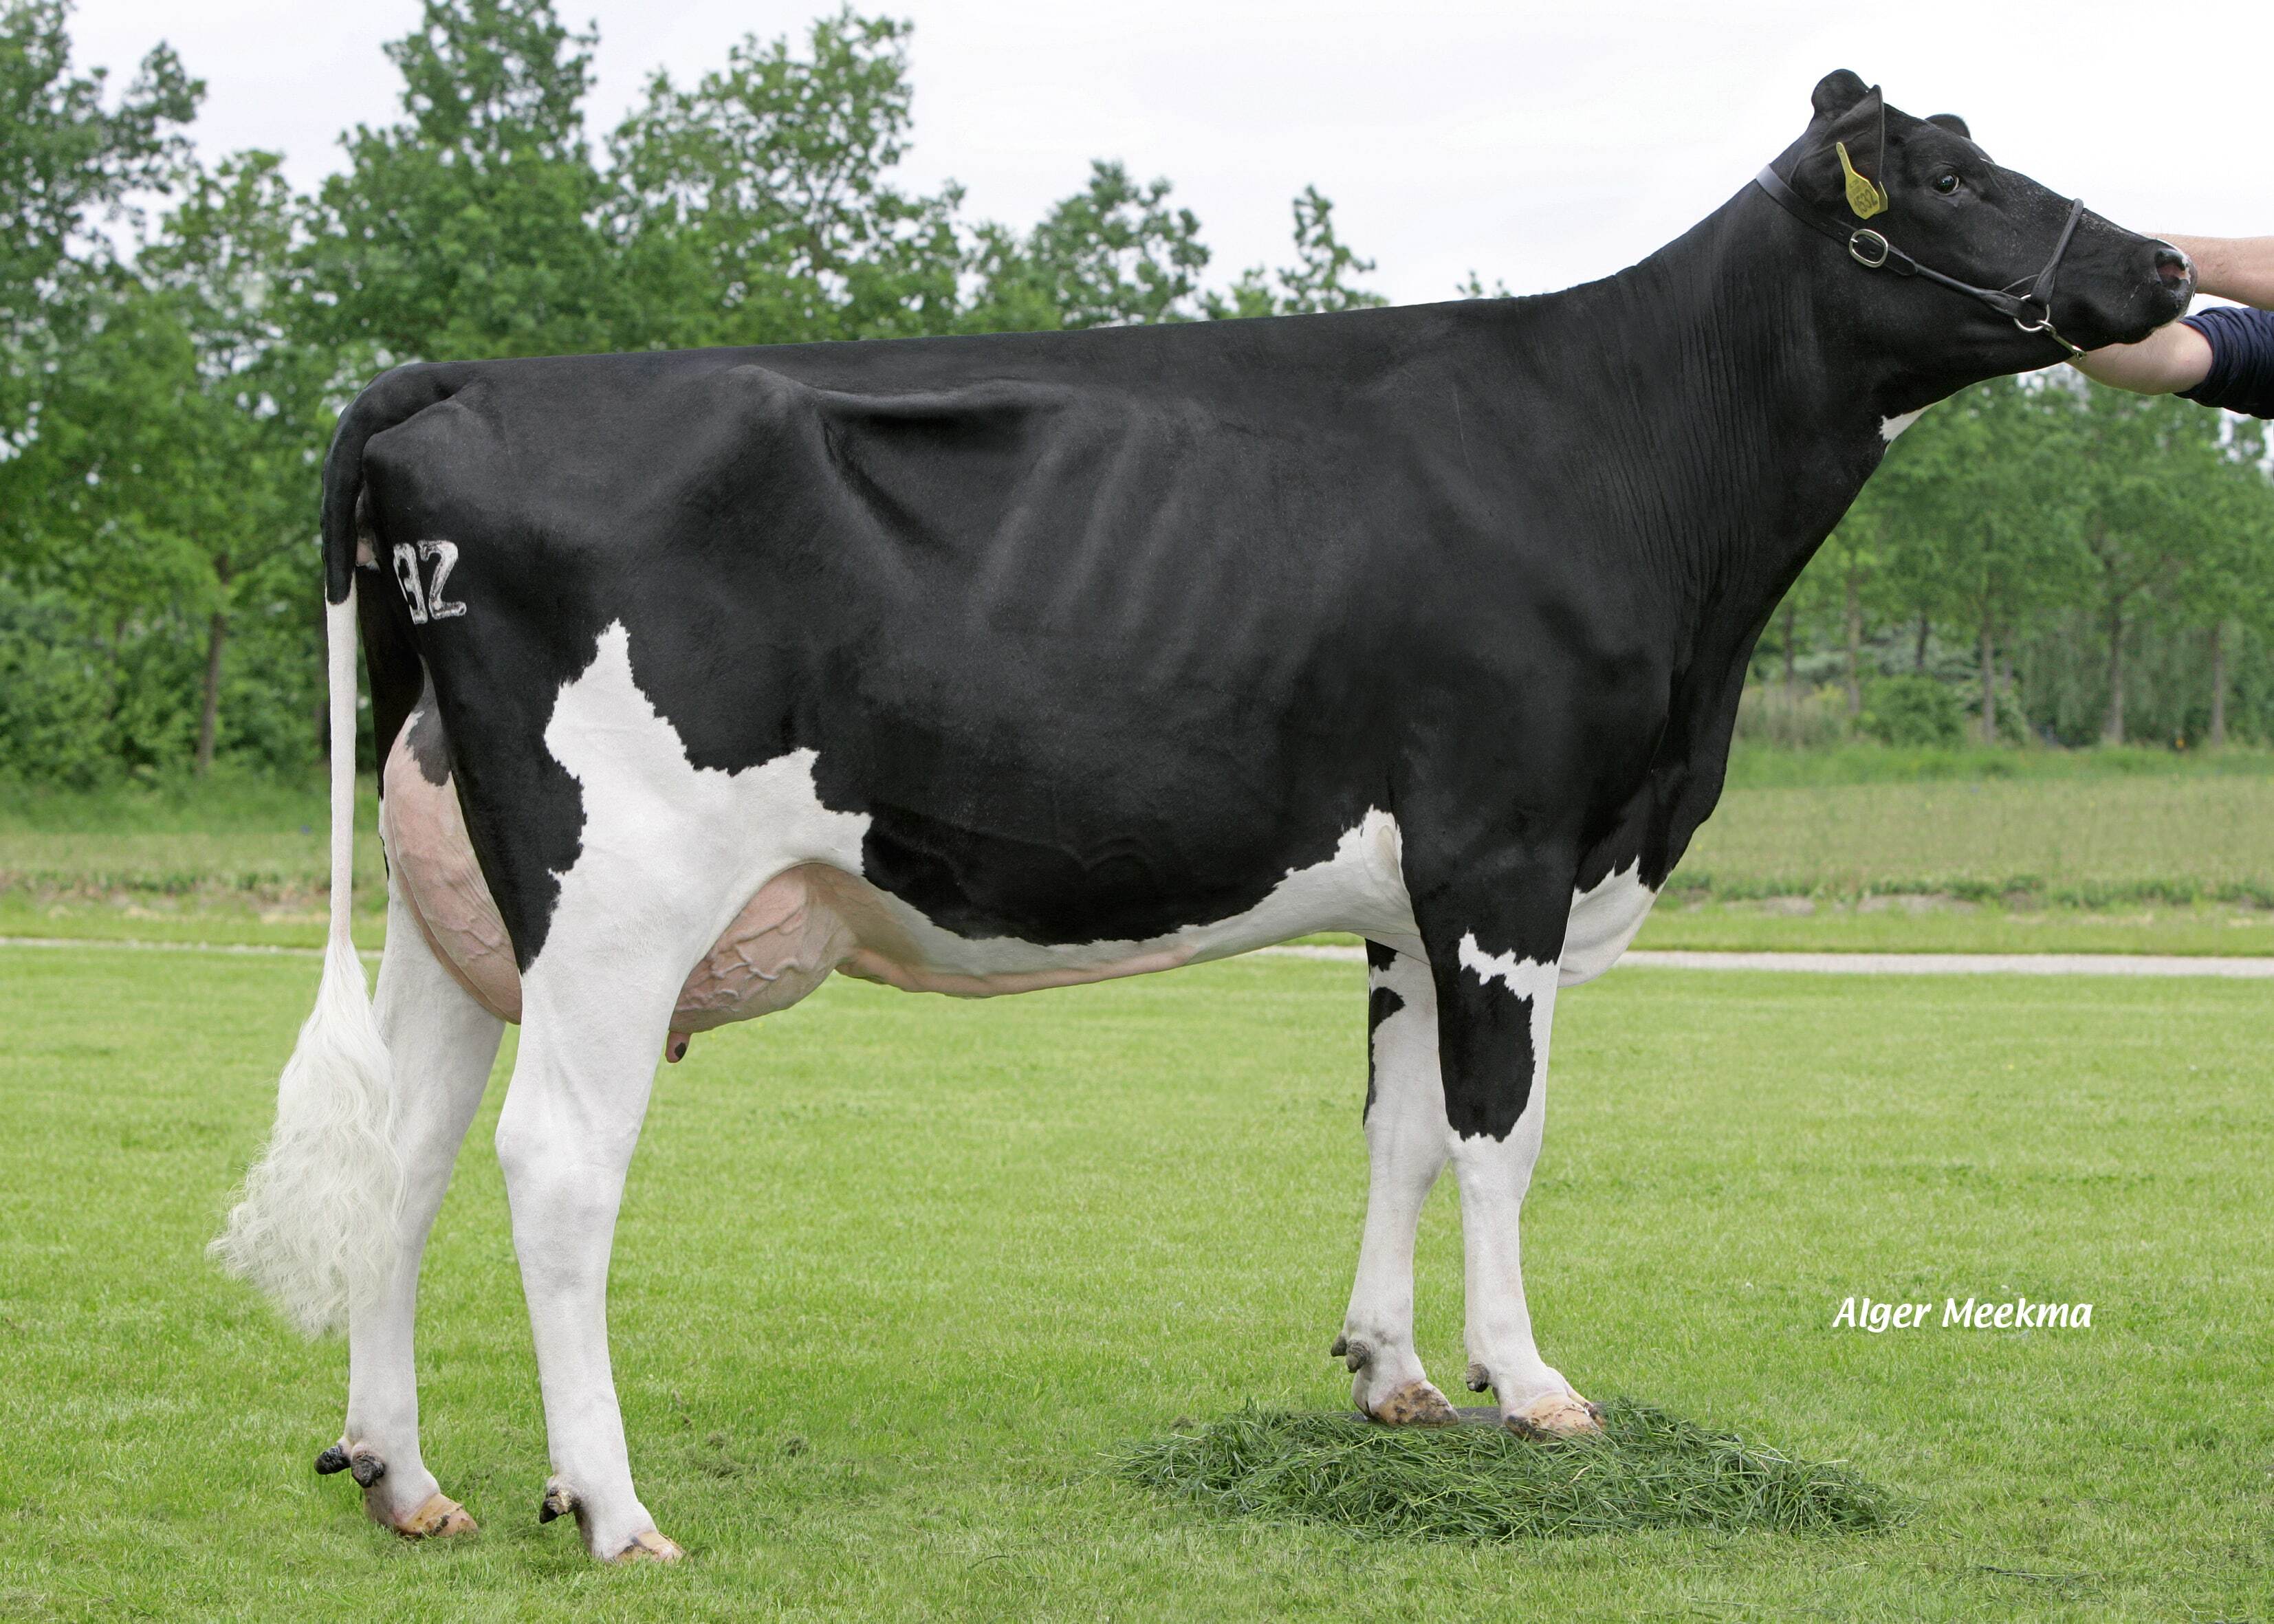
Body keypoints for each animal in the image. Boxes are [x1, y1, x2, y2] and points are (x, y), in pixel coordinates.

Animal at [221, 72, 2191, 1555]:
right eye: (1952, 177)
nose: (2168, 257)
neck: (1626, 463)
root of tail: (455, 382)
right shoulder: (1506, 858)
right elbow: (1503, 1135)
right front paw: (1533, 1386)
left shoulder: (1409, 901)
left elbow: (1400, 1133)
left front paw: (1393, 1375)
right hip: (617, 889)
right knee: (555, 1168)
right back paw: (615, 1508)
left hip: (458, 894)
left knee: (405, 1157)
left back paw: (406, 1477)